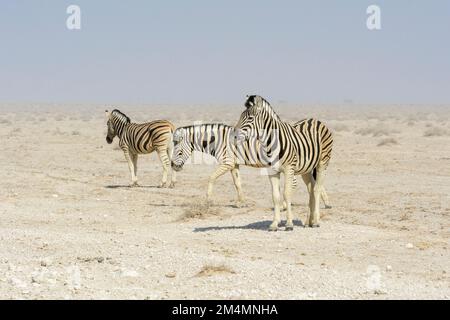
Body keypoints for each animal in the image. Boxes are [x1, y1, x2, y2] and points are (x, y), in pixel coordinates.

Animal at [171, 121, 332, 209]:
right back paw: (325, 203)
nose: (173, 166)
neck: (218, 140)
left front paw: (208, 200)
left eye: (179, 152)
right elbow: (237, 183)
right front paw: (241, 202)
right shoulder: (234, 164)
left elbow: (211, 177)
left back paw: (285, 205)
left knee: (294, 183)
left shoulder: (227, 162)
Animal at [234, 94, 332, 230]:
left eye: (250, 118)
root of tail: (314, 120)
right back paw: (308, 221)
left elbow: (287, 193)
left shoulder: (289, 168)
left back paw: (316, 221)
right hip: (306, 169)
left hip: (322, 163)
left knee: (317, 189)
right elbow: (275, 196)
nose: (234, 136)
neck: (271, 142)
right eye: (241, 116)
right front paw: (274, 224)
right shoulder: (272, 171)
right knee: (311, 189)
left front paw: (289, 224)